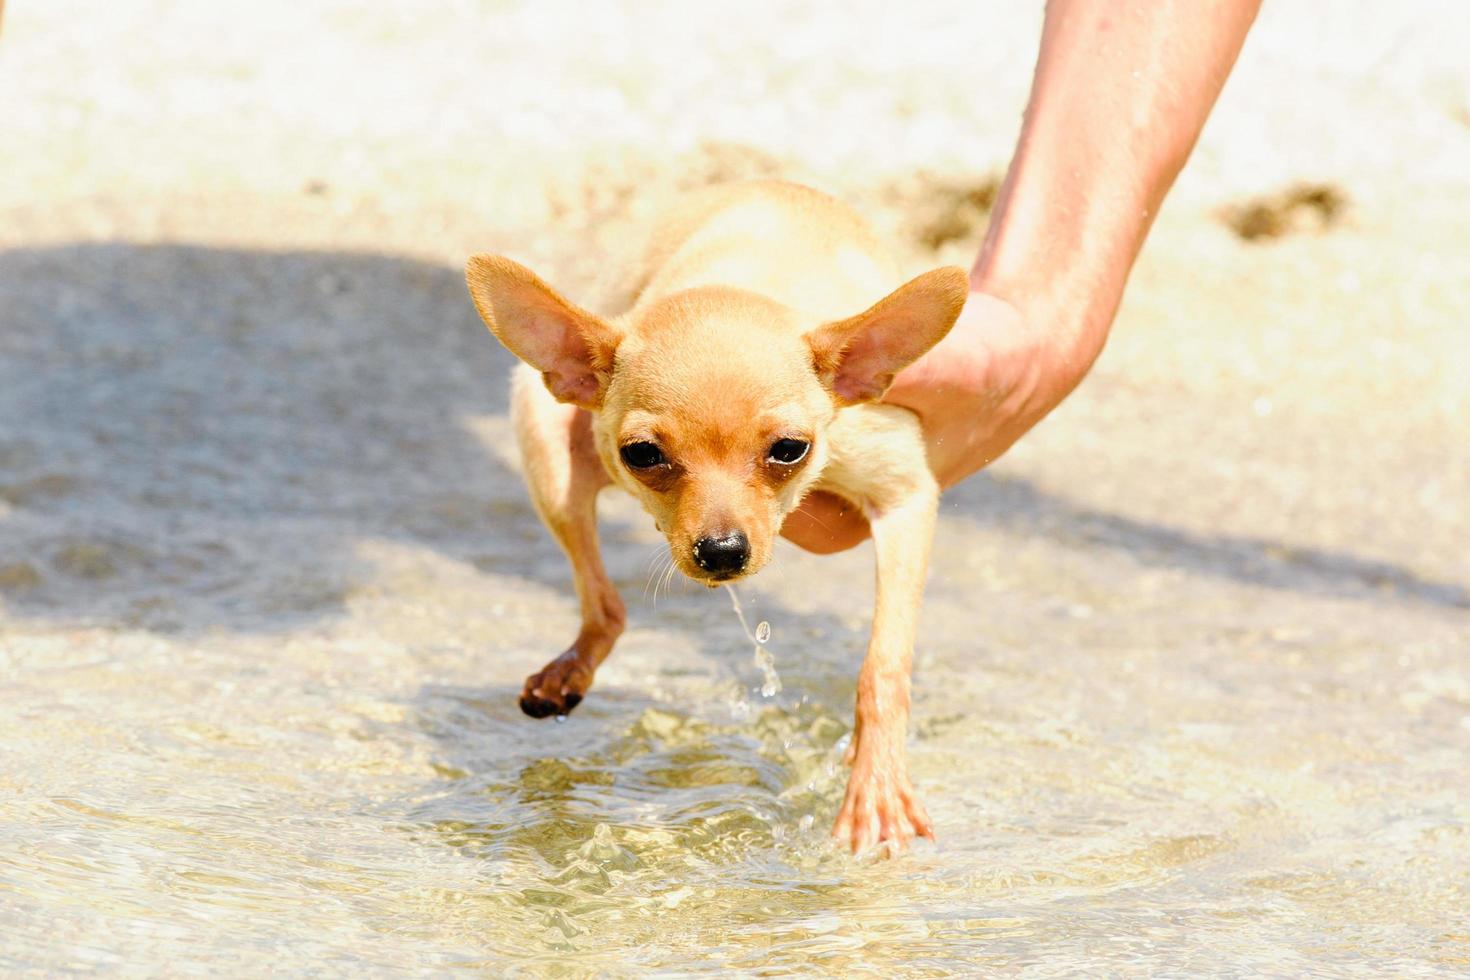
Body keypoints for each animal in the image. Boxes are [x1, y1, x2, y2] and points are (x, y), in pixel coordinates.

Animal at [467, 182, 964, 852]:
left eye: (791, 449)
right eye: (642, 455)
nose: (723, 551)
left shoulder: (904, 496)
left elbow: (882, 665)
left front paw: (876, 778)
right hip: (541, 432)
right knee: (604, 606)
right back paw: (567, 671)